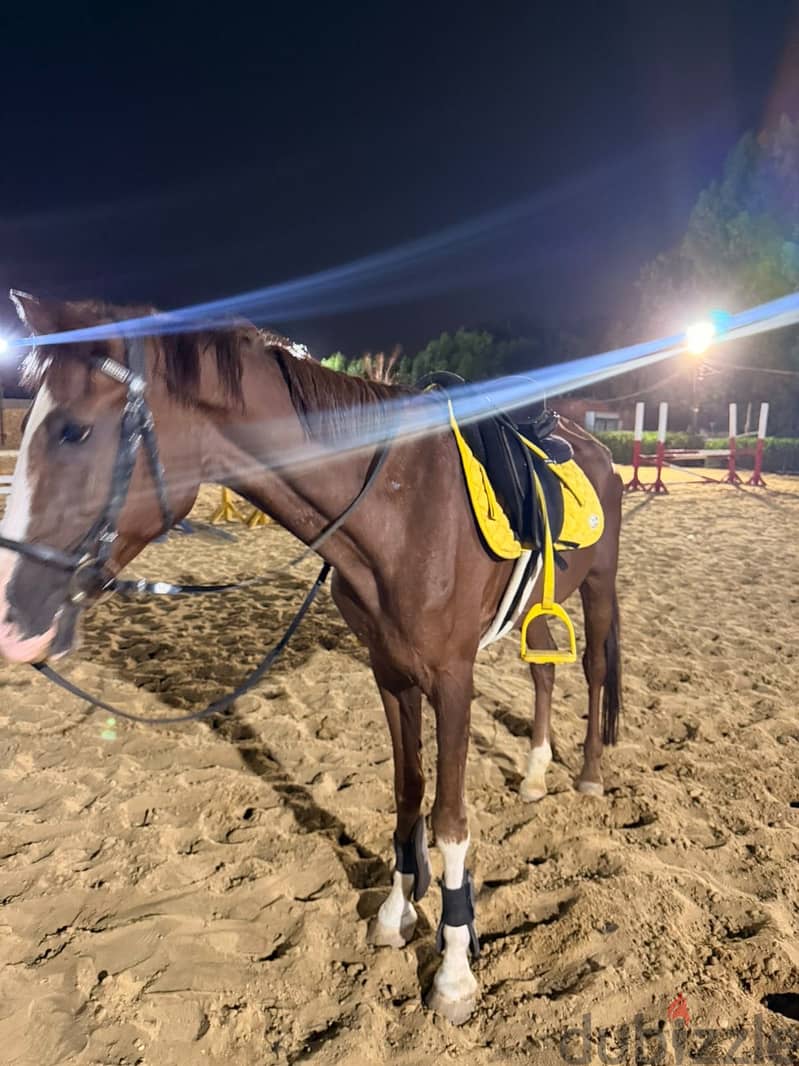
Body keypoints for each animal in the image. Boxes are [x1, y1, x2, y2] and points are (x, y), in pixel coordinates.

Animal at [0, 292, 623, 1024]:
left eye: (73, 432)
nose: (15, 619)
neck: (403, 506)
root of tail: (594, 446)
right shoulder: (390, 671)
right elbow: (407, 794)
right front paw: (396, 912)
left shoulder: (451, 678)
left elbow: (448, 821)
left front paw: (454, 968)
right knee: (543, 671)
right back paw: (534, 773)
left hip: (598, 584)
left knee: (591, 671)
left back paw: (586, 775)